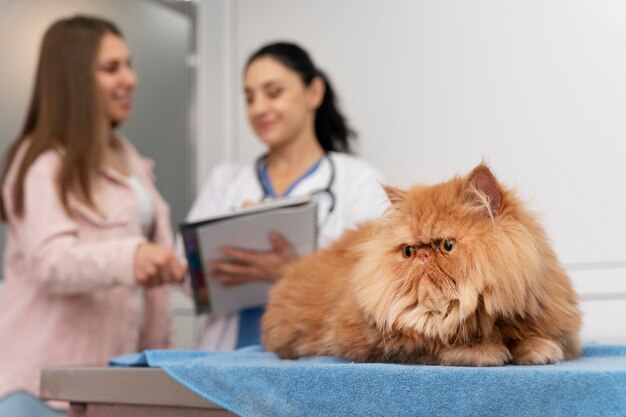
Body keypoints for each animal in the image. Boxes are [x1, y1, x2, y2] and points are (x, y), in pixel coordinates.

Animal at [260, 164, 580, 366]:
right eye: (409, 251)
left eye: (447, 245)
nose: (423, 256)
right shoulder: (378, 342)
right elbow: (436, 346)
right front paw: (485, 351)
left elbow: (544, 339)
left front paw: (538, 349)